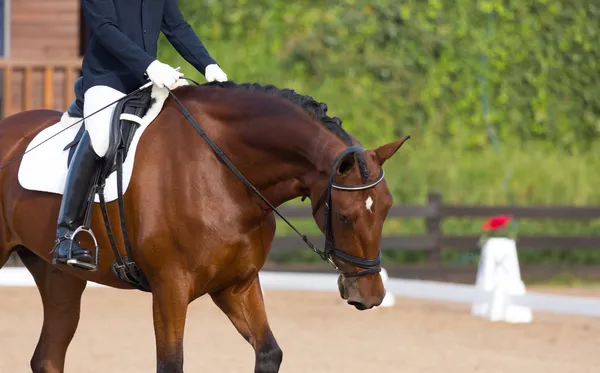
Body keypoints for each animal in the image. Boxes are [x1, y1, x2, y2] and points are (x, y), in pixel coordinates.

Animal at [0, 77, 408, 370]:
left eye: (387, 209)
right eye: (344, 216)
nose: (371, 296)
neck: (223, 173)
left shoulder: (236, 285)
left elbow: (269, 352)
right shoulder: (170, 289)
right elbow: (171, 364)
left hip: (60, 276)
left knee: (48, 356)